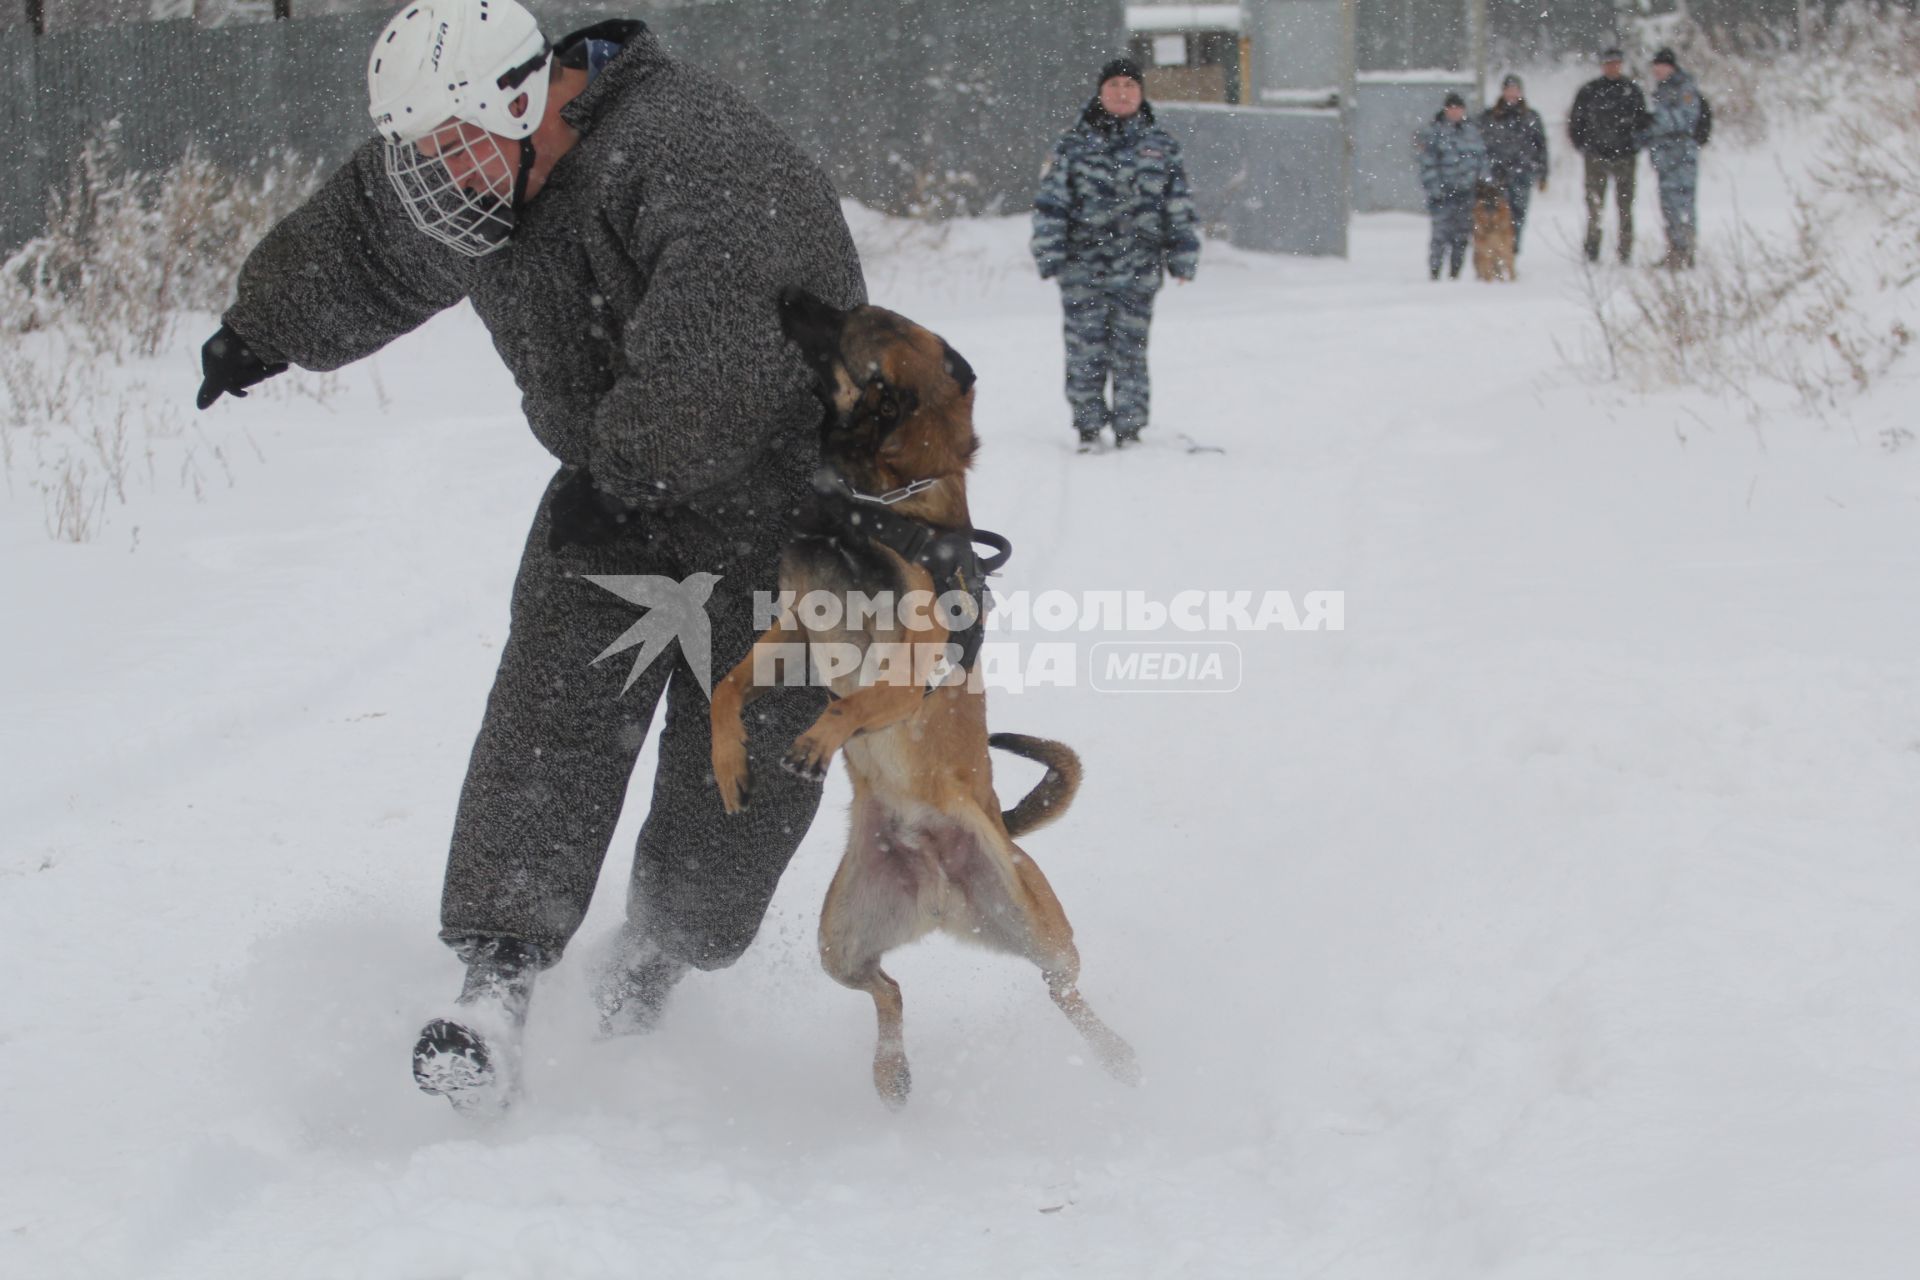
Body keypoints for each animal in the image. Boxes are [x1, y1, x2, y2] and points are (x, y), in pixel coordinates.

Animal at [710, 289, 1136, 1113]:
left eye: (851, 321)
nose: (786, 294)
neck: (873, 501)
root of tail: (940, 884)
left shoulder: (911, 664)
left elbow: (850, 705)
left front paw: (814, 743)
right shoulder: (793, 632)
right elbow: (726, 688)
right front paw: (728, 765)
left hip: (1036, 918)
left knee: (1062, 989)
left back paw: (1116, 1055)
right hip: (840, 939)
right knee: (889, 988)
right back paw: (891, 1070)